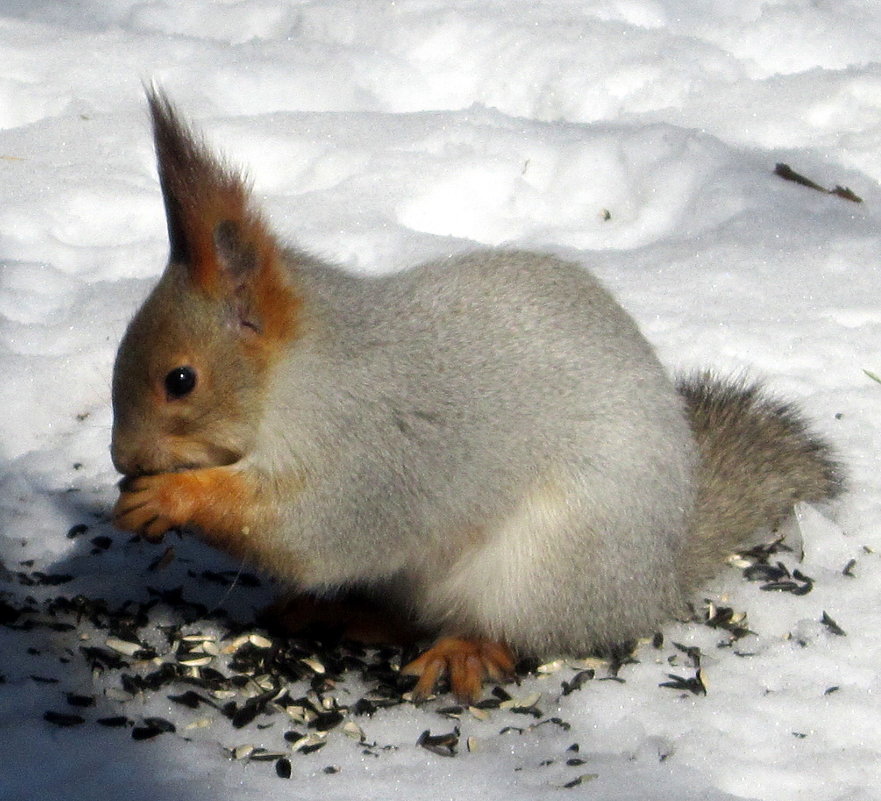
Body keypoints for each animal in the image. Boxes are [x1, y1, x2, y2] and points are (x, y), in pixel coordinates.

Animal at [110, 89, 840, 700]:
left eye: (181, 380)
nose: (123, 459)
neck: (302, 378)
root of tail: (650, 582)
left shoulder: (373, 452)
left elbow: (306, 528)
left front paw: (174, 496)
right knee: (406, 617)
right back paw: (339, 612)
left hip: (543, 568)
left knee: (519, 631)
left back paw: (464, 648)